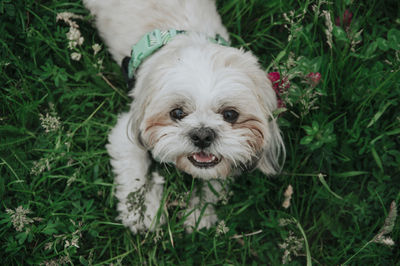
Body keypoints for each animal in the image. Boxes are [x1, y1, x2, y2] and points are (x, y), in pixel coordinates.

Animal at [83, 0, 284, 233]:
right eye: (177, 113)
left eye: (230, 114)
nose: (203, 135)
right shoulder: (127, 133)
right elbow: (134, 175)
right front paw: (143, 211)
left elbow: (214, 182)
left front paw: (199, 213)